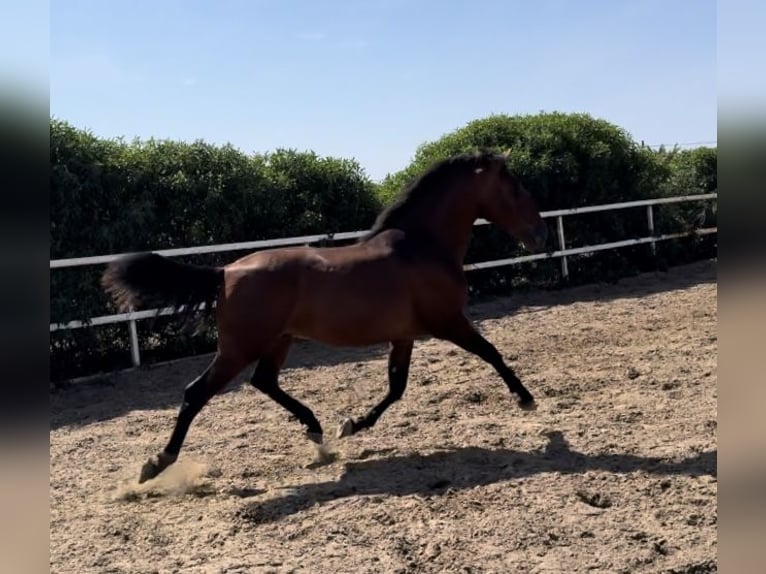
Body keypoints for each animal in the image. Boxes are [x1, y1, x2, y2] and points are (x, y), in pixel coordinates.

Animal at [102, 151, 552, 484]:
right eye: (516, 188)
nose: (540, 235)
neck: (423, 247)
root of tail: (225, 272)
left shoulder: (405, 335)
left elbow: (397, 387)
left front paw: (351, 424)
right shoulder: (448, 322)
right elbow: (490, 352)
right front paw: (526, 399)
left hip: (277, 341)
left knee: (264, 381)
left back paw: (317, 433)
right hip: (240, 348)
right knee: (196, 393)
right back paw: (155, 465)